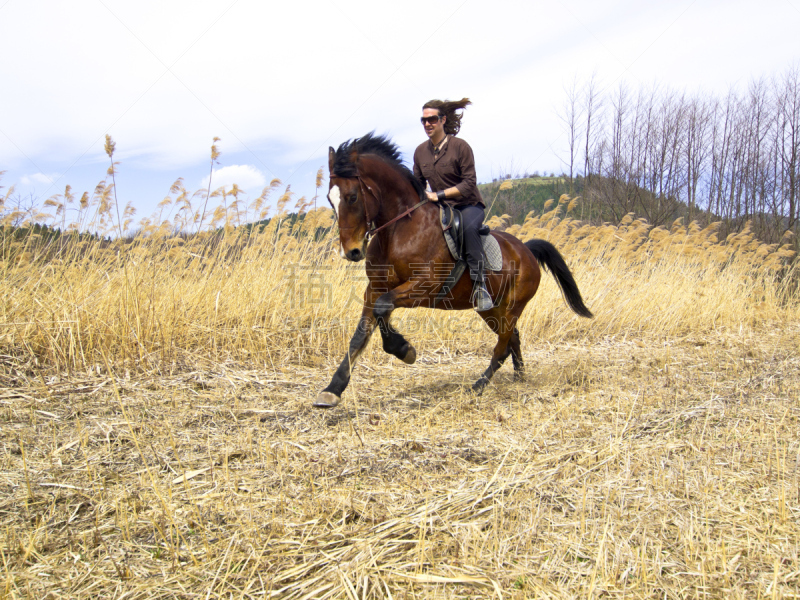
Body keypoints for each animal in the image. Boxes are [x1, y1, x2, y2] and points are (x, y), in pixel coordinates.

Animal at [312, 132, 592, 408]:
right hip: (492, 309)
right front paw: (332, 390)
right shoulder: (375, 288)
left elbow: (382, 309)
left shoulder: (425, 287)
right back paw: (519, 376)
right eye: (329, 200)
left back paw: (478, 386)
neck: (398, 230)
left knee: (502, 346)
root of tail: (526, 250)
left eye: (352, 197)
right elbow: (361, 334)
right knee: (513, 338)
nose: (351, 252)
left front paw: (404, 350)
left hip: (514, 305)